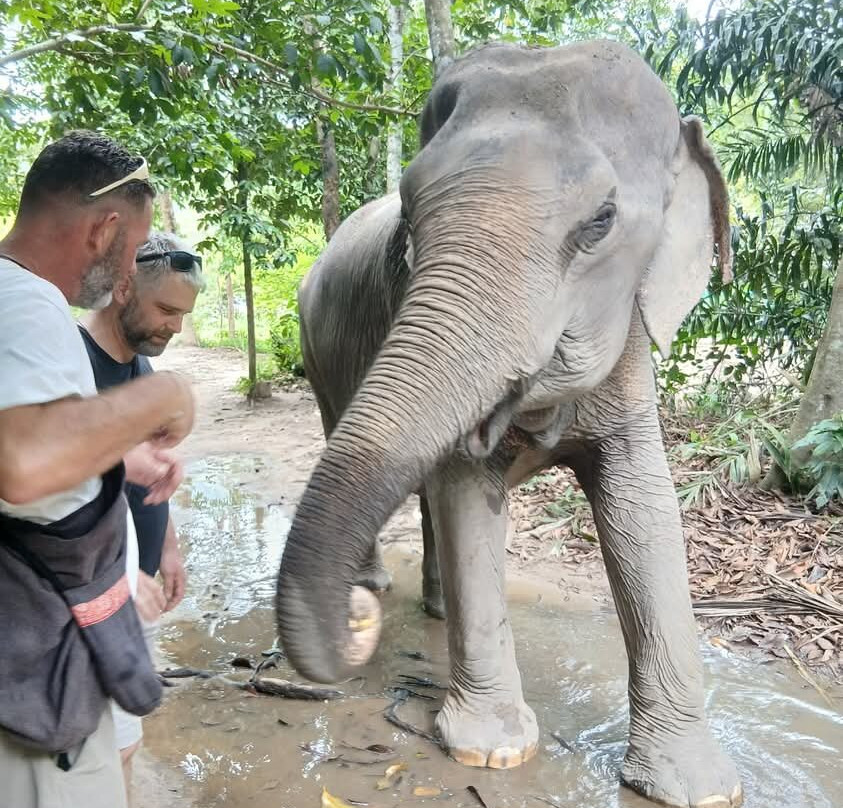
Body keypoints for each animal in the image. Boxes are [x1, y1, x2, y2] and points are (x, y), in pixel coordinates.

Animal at [277, 39, 742, 808]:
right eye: (409, 218)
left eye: (601, 220)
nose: (352, 625)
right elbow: (466, 490)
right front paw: (490, 753)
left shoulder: (631, 350)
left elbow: (644, 506)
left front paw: (698, 788)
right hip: (313, 344)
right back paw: (382, 587)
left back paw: (431, 608)